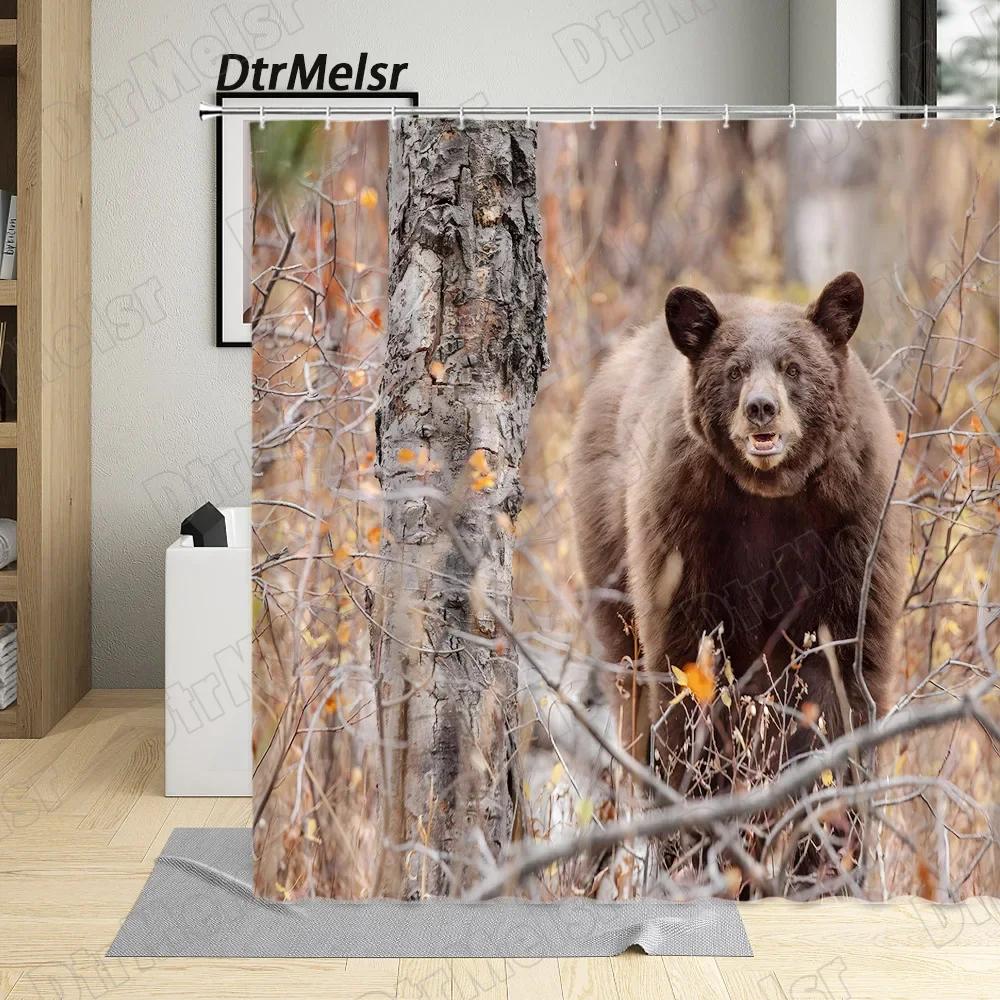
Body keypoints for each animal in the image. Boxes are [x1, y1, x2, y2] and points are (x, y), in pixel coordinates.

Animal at [568, 272, 906, 885]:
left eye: (793, 368)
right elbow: (687, 675)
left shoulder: (852, 530)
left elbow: (841, 680)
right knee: (631, 692)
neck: (771, 495)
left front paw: (826, 857)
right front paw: (700, 837)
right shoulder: (686, 529)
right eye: (734, 370)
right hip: (607, 552)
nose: (761, 409)